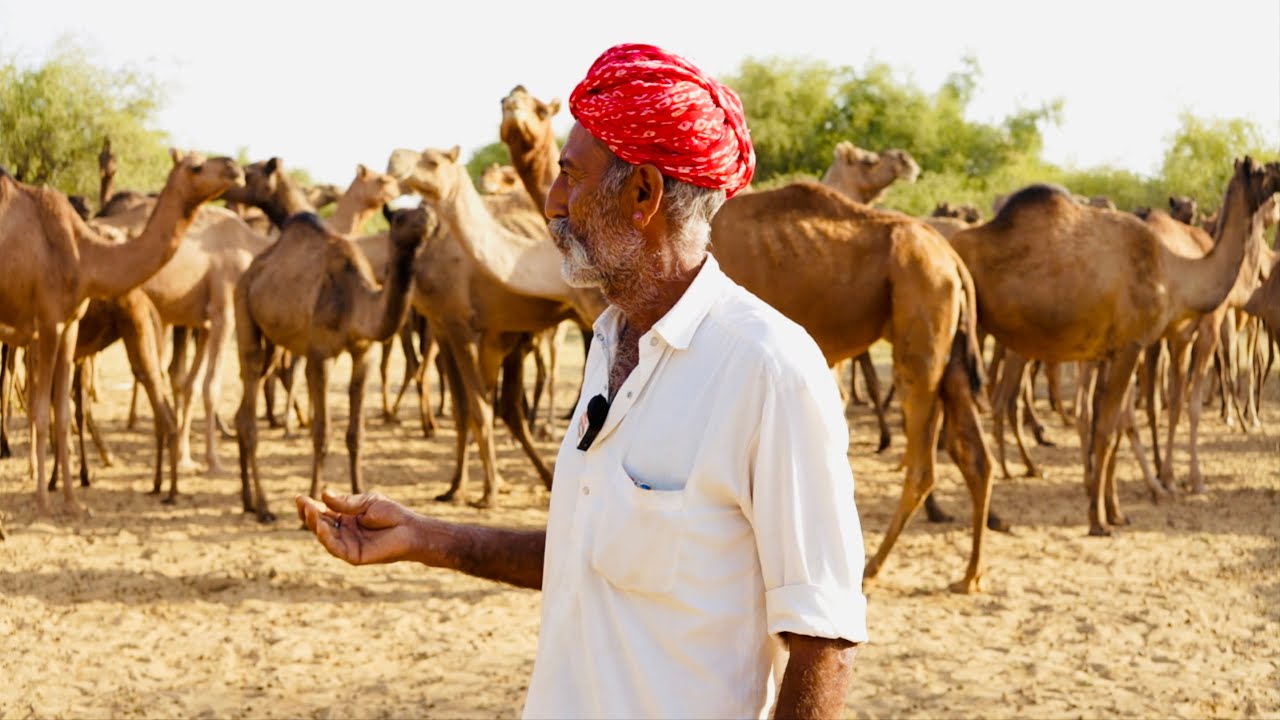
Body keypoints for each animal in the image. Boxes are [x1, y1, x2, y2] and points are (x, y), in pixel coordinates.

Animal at [0, 151, 241, 517]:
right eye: (195, 166)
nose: (234, 166)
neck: (84, 255)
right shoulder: (47, 321)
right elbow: (41, 412)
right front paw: (43, 499)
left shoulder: (69, 325)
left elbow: (64, 413)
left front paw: (73, 501)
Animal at [234, 205, 432, 522]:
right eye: (400, 217)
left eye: (424, 208)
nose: (426, 218)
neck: (354, 301)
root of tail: (251, 271)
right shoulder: (319, 355)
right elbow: (321, 432)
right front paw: (314, 497)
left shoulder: (364, 354)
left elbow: (356, 433)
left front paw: (361, 491)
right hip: (244, 308)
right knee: (250, 396)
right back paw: (264, 507)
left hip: (273, 343)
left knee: (243, 410)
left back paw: (248, 500)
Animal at [709, 180, 993, 593]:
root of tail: (953, 260)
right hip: (951, 353)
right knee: (974, 457)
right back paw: (970, 575)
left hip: (922, 317)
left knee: (923, 465)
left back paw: (871, 569)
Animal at [949, 158, 1280, 535]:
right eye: (1265, 171)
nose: (1279, 176)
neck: (1176, 273)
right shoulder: (1133, 345)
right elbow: (1111, 429)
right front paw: (1099, 520)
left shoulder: (1111, 350)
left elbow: (1109, 427)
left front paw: (1115, 511)